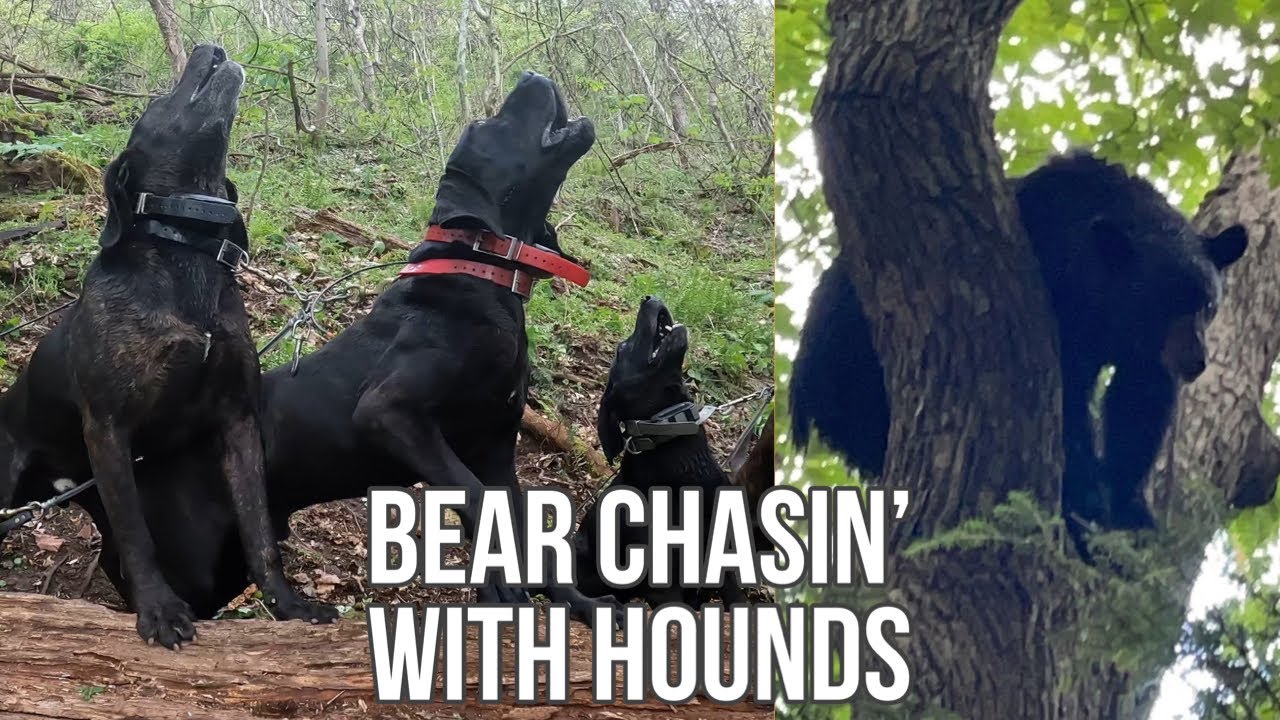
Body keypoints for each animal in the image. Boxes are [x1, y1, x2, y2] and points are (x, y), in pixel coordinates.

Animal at [790, 152, 1247, 535]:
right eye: (1158, 304)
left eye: (1208, 304)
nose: (1195, 359)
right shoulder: (1058, 304)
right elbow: (1067, 402)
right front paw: (1085, 499)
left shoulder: (1139, 352)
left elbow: (1138, 405)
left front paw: (1129, 507)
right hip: (853, 375)